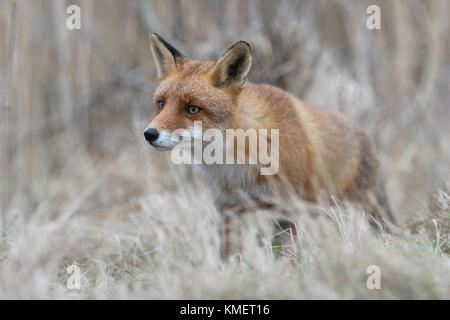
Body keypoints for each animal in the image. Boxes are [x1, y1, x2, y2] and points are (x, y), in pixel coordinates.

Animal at [145, 32, 394, 258]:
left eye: (192, 108)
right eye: (161, 104)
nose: (149, 134)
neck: (234, 165)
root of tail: (368, 138)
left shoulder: (290, 207)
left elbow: (287, 255)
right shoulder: (229, 209)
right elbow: (229, 257)